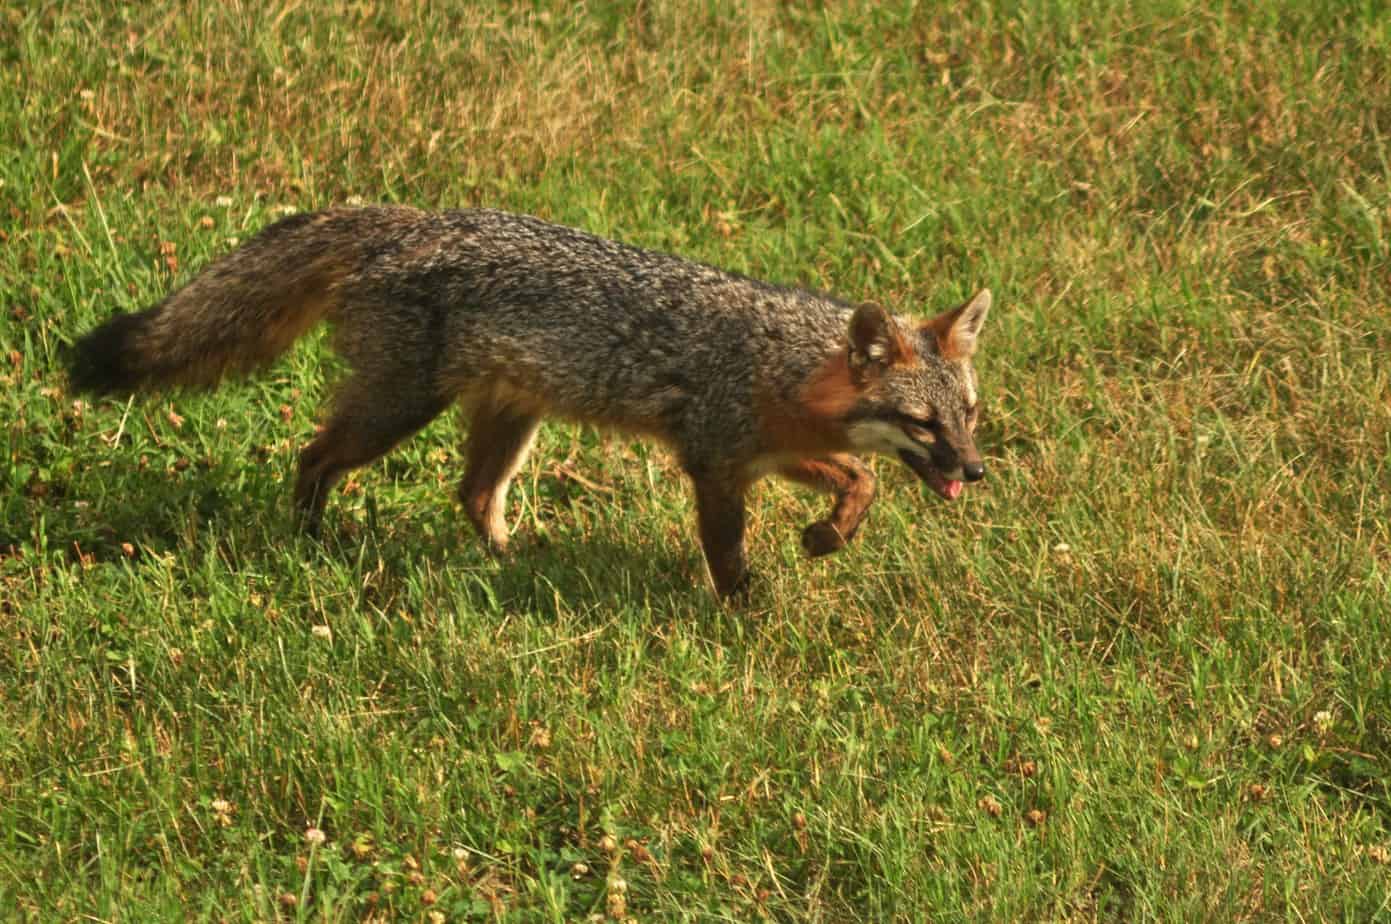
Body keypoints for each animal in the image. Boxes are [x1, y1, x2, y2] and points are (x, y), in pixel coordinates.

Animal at [70, 207, 995, 598]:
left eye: (969, 415)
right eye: (922, 423)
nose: (977, 472)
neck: (782, 363)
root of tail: (411, 218)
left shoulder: (765, 451)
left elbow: (858, 479)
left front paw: (825, 536)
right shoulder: (713, 463)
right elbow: (728, 551)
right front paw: (743, 607)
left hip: (511, 423)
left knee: (473, 494)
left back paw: (511, 563)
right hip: (395, 411)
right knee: (315, 455)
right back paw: (309, 540)